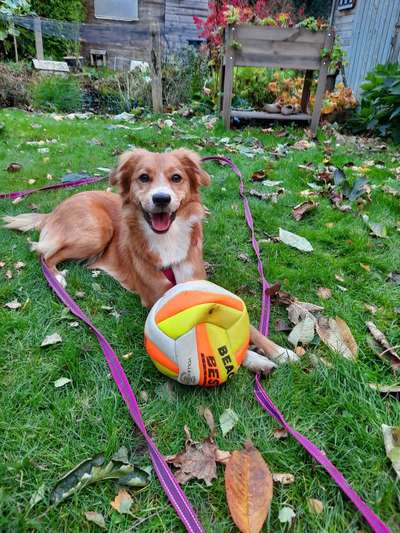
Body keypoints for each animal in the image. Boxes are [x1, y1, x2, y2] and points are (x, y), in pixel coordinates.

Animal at [3, 149, 296, 366]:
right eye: (144, 178)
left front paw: (278, 351)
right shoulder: (157, 297)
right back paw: (57, 277)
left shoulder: (196, 282)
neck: (167, 238)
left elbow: (246, 325)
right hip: (98, 230)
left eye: (176, 178)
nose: (161, 199)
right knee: (43, 252)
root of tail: (56, 209)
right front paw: (253, 358)